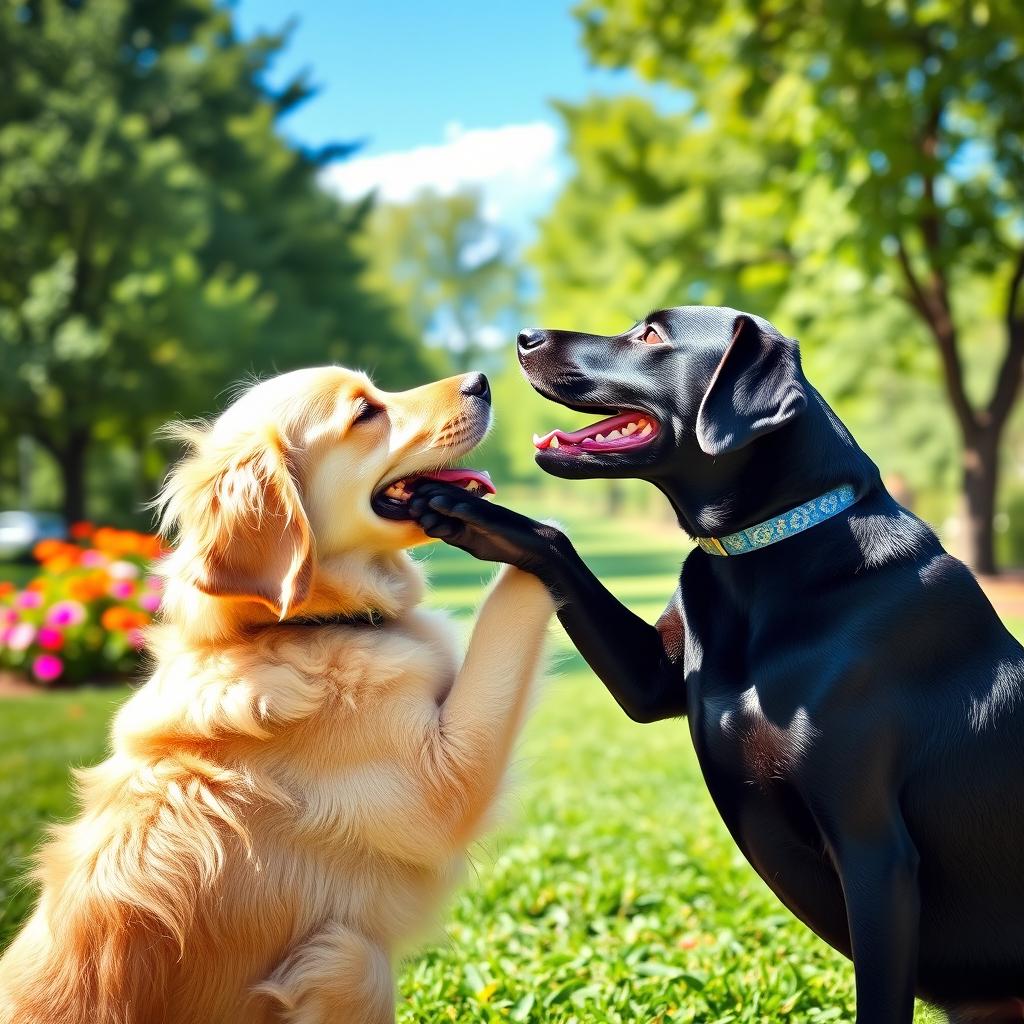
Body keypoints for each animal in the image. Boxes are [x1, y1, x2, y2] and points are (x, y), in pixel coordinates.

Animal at [409, 305, 1024, 1024]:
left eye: (651, 335)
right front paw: (462, 507)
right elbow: (553, 540)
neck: (765, 551)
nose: (525, 337)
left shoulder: (874, 850)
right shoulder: (652, 679)